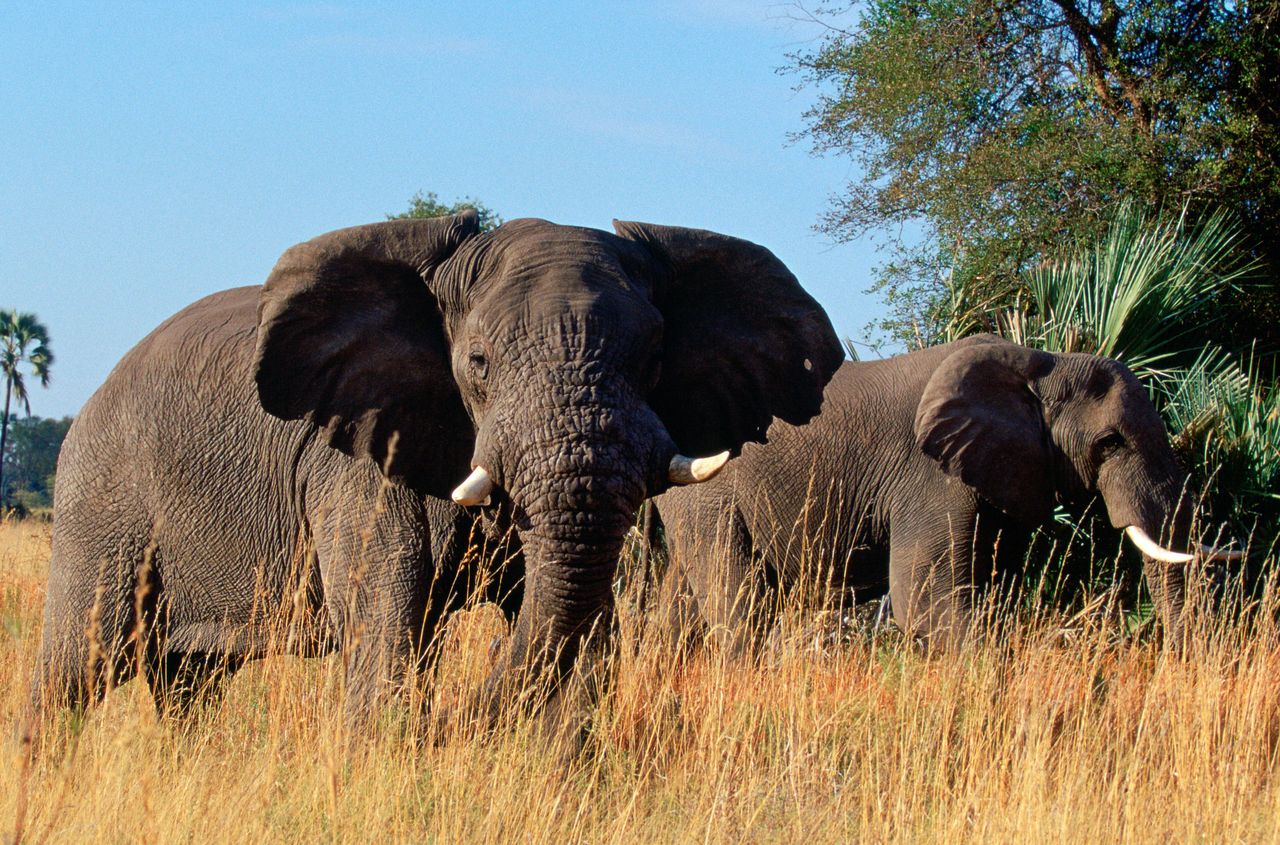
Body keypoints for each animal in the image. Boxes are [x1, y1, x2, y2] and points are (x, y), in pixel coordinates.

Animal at [30, 211, 844, 727]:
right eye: (477, 362)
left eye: (652, 359)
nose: (459, 714)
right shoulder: (358, 463)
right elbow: (387, 622)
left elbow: (580, 638)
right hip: (102, 490)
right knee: (79, 663)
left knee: (186, 683)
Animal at [650, 332, 1239, 650]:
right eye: (1110, 443)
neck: (1043, 363)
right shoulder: (931, 476)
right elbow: (925, 597)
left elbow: (994, 590)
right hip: (711, 494)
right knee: (740, 604)